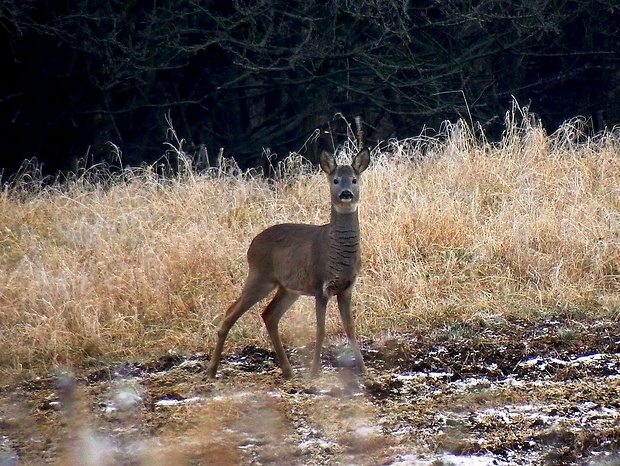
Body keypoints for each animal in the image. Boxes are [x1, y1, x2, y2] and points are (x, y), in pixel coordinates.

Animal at [206, 149, 370, 378]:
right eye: (335, 180)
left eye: (354, 179)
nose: (346, 193)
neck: (339, 255)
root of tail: (251, 245)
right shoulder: (320, 285)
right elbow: (321, 330)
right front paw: (314, 372)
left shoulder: (347, 288)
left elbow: (351, 328)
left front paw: (363, 369)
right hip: (260, 276)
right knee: (232, 311)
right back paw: (211, 371)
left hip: (288, 288)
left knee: (269, 315)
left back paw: (288, 370)